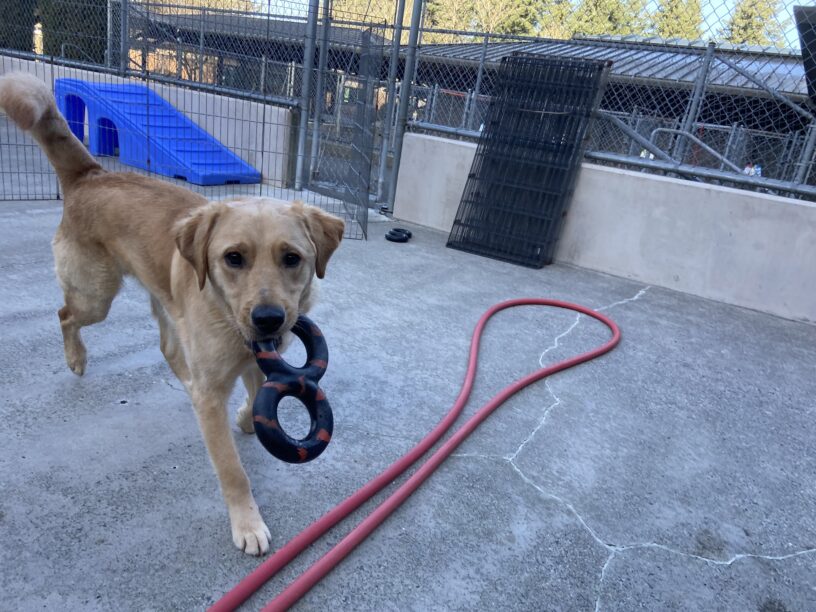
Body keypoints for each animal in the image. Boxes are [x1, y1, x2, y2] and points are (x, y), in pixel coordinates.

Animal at [0, 71, 342, 556]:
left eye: (292, 258)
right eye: (233, 258)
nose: (269, 319)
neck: (228, 316)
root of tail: (91, 175)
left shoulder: (257, 362)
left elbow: (254, 395)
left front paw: (244, 418)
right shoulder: (222, 382)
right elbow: (231, 468)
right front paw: (247, 523)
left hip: (162, 300)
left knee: (167, 349)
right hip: (96, 297)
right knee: (65, 313)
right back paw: (76, 358)